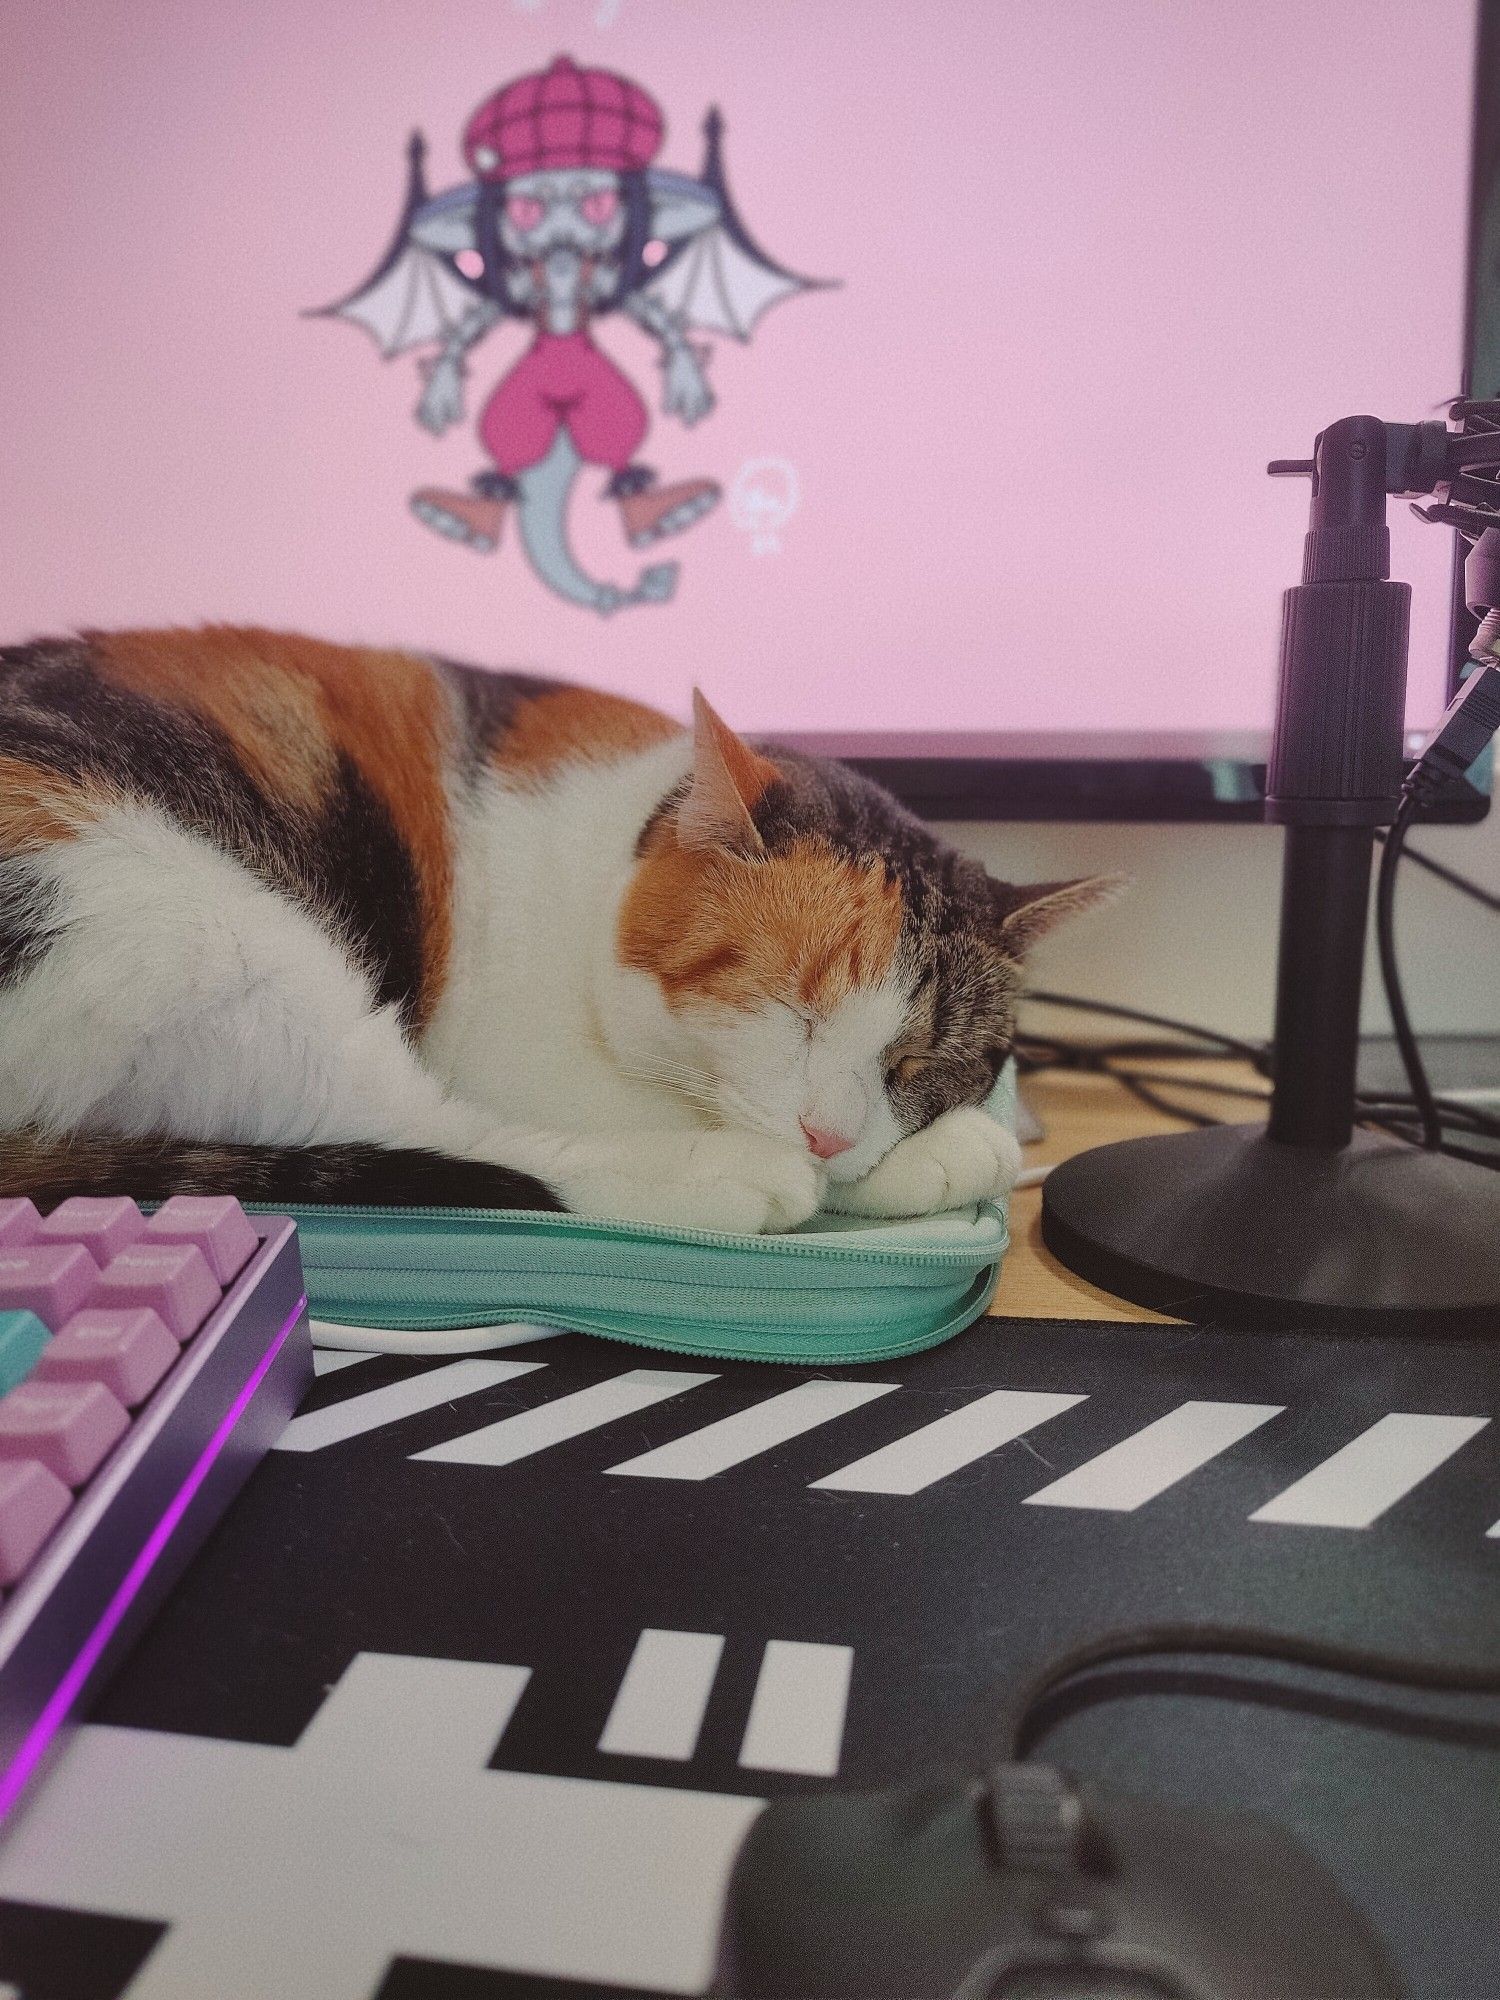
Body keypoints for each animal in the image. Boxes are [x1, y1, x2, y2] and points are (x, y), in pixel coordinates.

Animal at [0, 624, 1112, 1224]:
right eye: (790, 1011)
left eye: (917, 1063)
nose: (826, 1133)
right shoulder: (513, 1049)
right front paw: (884, 1155)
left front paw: (912, 1151)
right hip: (183, 920)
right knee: (410, 1123)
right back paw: (728, 1178)